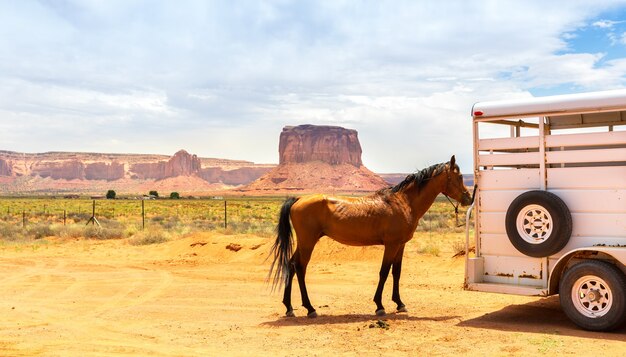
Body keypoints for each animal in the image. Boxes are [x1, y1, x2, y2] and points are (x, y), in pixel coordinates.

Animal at [266, 154, 468, 316]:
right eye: (459, 176)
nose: (469, 197)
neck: (403, 202)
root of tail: (298, 198)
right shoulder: (391, 245)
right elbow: (384, 272)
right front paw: (379, 306)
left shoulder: (400, 245)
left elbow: (396, 272)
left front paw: (399, 303)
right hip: (308, 242)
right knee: (300, 268)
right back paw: (310, 308)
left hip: (304, 243)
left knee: (291, 265)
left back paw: (289, 308)